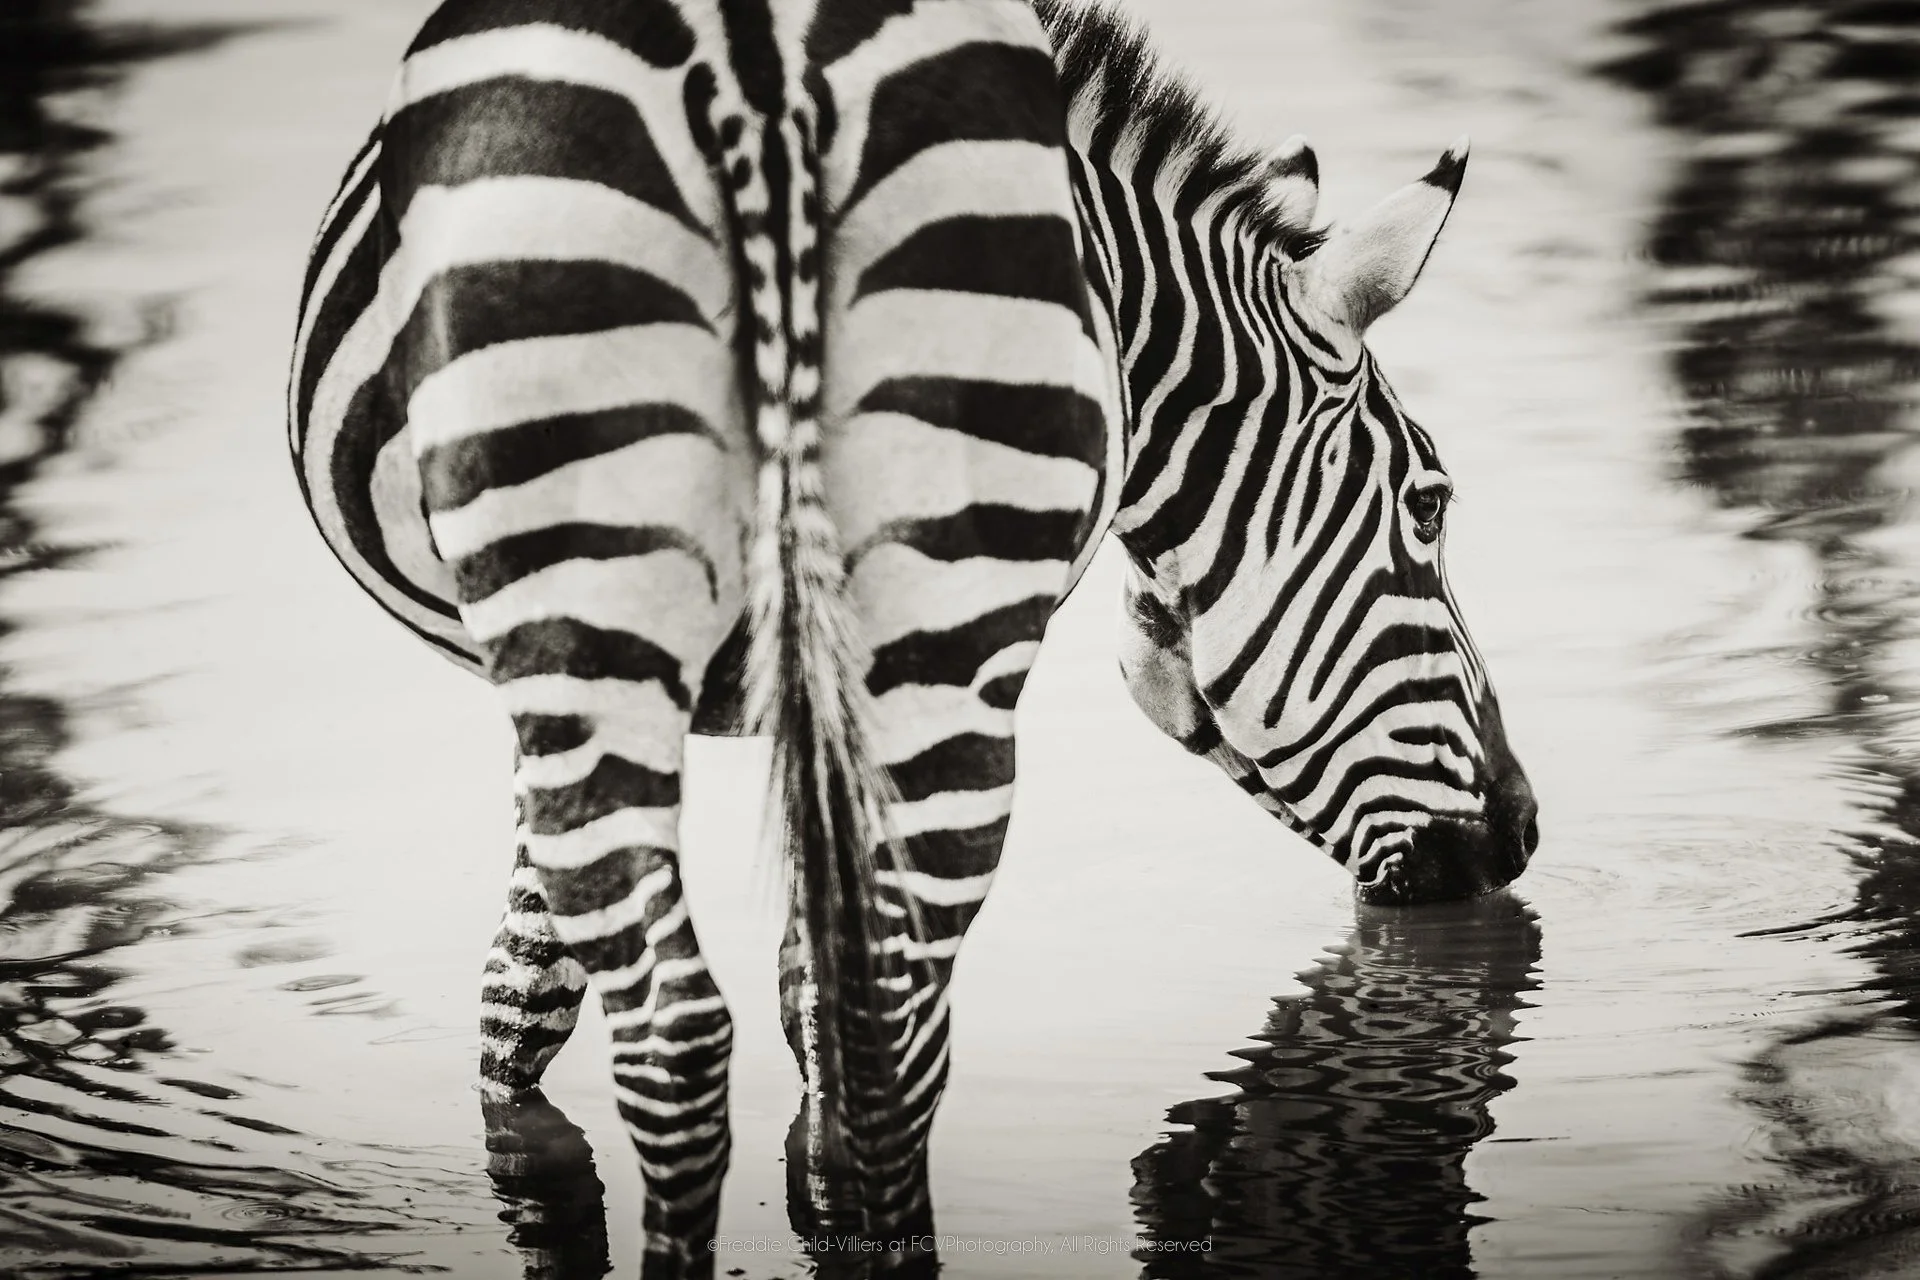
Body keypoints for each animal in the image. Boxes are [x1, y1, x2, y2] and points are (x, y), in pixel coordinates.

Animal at [287, 0, 1537, 1272]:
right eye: (1430, 504)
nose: (1521, 834)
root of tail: (758, 75)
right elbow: (555, 995)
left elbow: (560, 998)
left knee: (730, 1031)